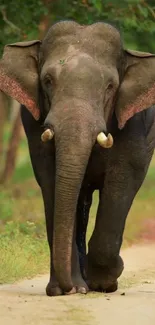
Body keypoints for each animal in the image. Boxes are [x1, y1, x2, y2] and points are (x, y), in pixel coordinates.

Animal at [0, 19, 155, 294]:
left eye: (110, 86)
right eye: (47, 80)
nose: (68, 287)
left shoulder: (137, 124)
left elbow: (123, 179)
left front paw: (105, 281)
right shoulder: (33, 123)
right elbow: (50, 181)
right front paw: (66, 289)